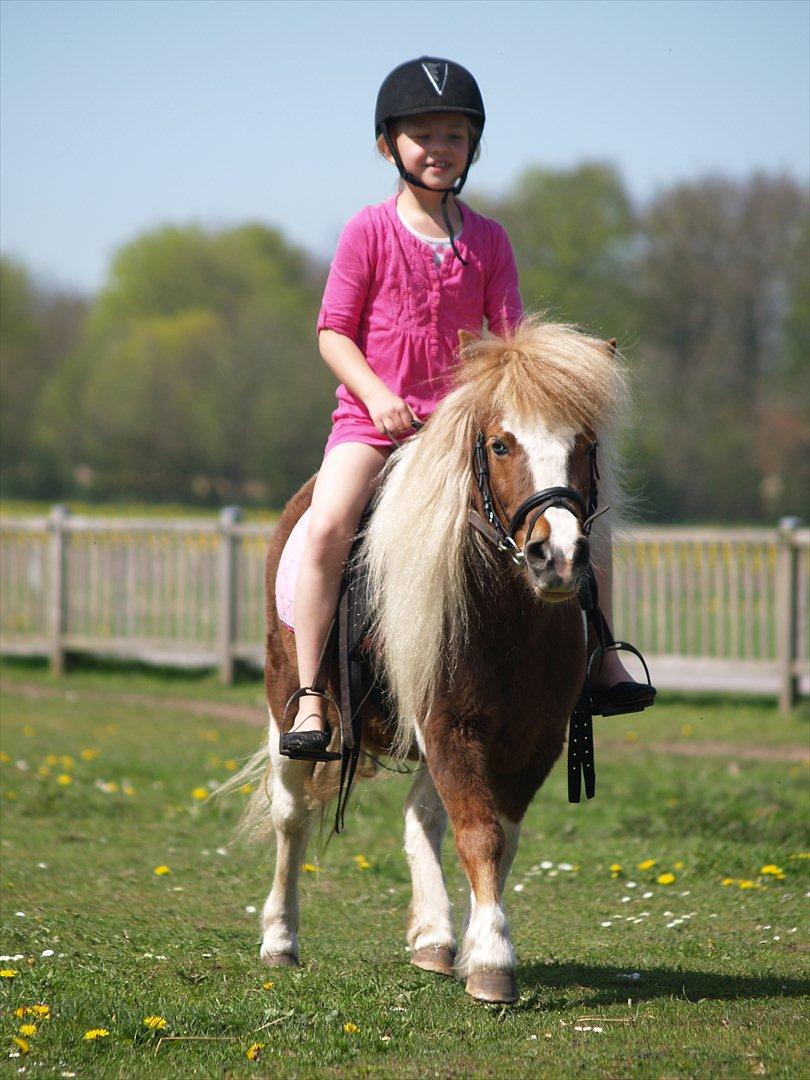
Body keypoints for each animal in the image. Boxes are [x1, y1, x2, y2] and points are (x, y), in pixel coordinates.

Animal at [233, 315, 626, 1002]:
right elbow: (479, 833)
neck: (510, 619)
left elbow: (499, 838)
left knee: (421, 818)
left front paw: (474, 946)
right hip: (289, 706)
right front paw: (493, 961)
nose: (558, 558)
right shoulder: (449, 726)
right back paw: (280, 940)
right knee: (291, 818)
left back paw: (434, 938)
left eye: (585, 445)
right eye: (500, 445)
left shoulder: (533, 740)